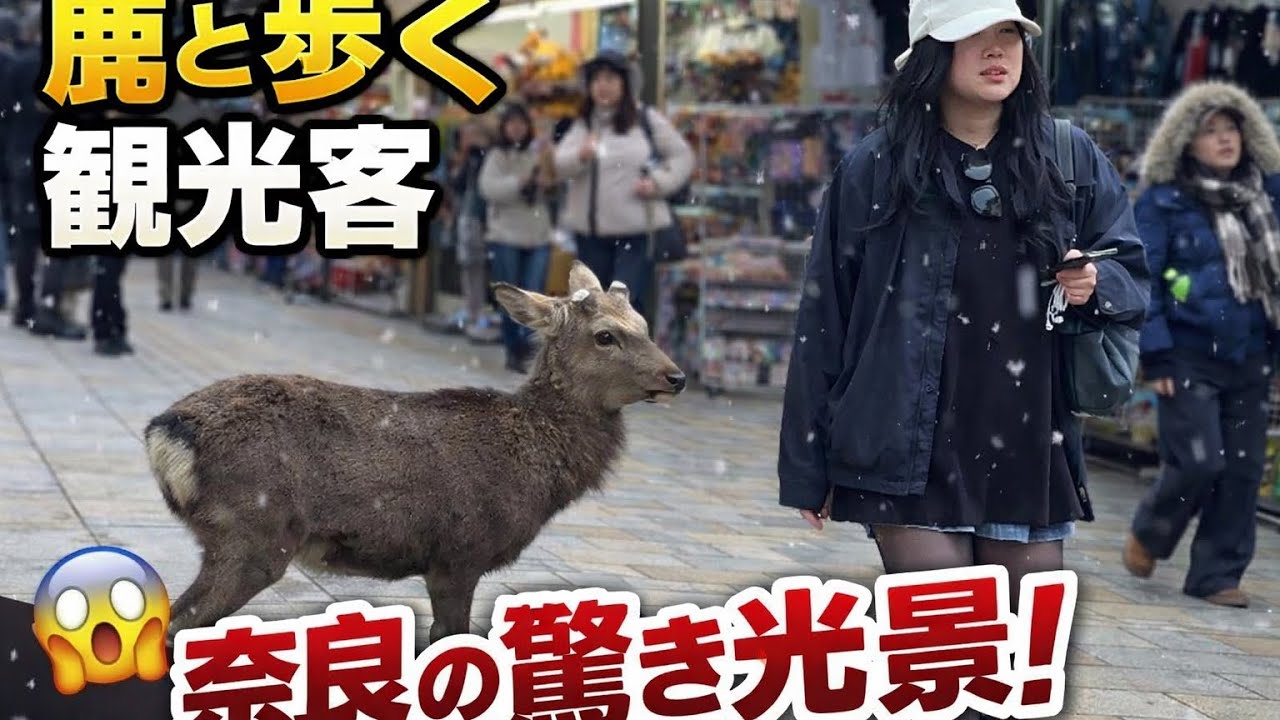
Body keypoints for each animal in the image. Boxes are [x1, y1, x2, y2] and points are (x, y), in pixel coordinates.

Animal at [145, 261, 687, 642]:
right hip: (254, 532)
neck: (537, 476)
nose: (677, 376)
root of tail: (165, 433)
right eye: (605, 336)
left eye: (645, 324)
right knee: (180, 622)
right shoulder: (460, 551)